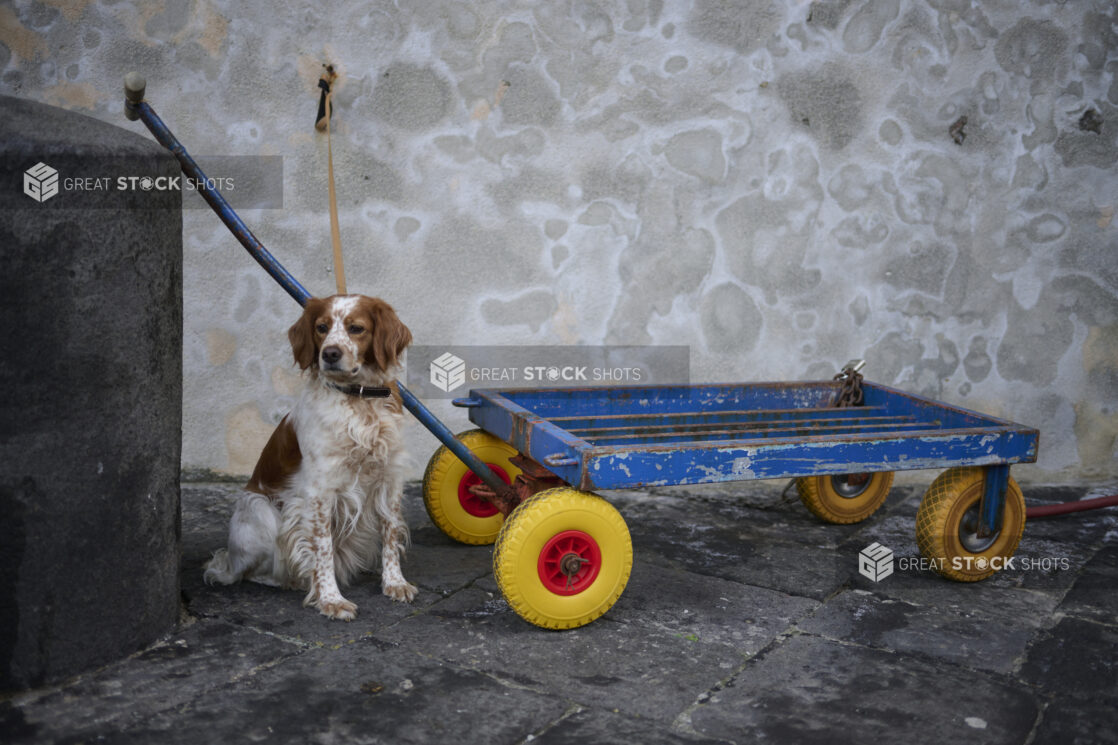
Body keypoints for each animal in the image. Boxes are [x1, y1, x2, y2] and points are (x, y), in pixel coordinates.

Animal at [204, 293, 415, 617]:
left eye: (356, 328)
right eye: (321, 327)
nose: (330, 353)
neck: (358, 401)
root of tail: (230, 561)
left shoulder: (389, 479)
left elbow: (390, 535)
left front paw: (394, 583)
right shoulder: (319, 491)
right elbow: (321, 548)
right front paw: (330, 599)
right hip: (261, 512)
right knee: (252, 573)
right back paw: (291, 581)